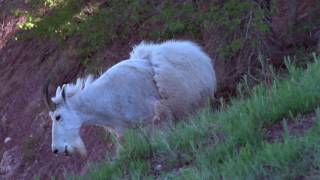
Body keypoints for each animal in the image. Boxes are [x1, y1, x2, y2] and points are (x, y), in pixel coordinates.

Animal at [44, 40, 218, 155]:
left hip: (199, 104)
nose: (56, 149)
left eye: (58, 117)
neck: (104, 100)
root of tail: (201, 56)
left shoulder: (157, 120)